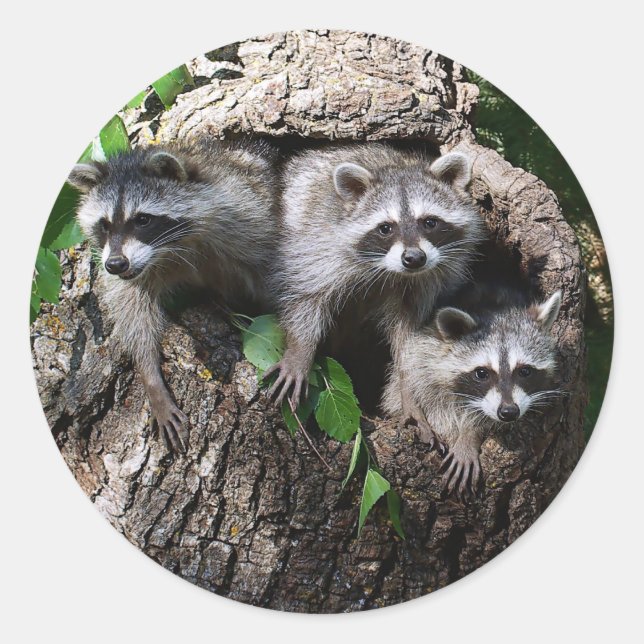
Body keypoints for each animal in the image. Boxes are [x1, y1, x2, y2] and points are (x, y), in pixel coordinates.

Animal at [68, 137, 278, 452]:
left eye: (143, 220)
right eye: (104, 224)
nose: (115, 264)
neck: (171, 249)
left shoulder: (249, 219)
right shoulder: (133, 273)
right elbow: (133, 315)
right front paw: (151, 379)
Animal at [265, 143, 485, 447]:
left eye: (429, 222)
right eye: (385, 228)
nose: (413, 259)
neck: (392, 272)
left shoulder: (423, 284)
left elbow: (409, 342)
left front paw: (409, 395)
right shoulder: (315, 242)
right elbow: (305, 297)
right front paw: (300, 352)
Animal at [381, 285, 562, 499]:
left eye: (525, 371)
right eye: (482, 373)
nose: (508, 412)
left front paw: (470, 433)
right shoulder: (423, 355)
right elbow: (425, 397)